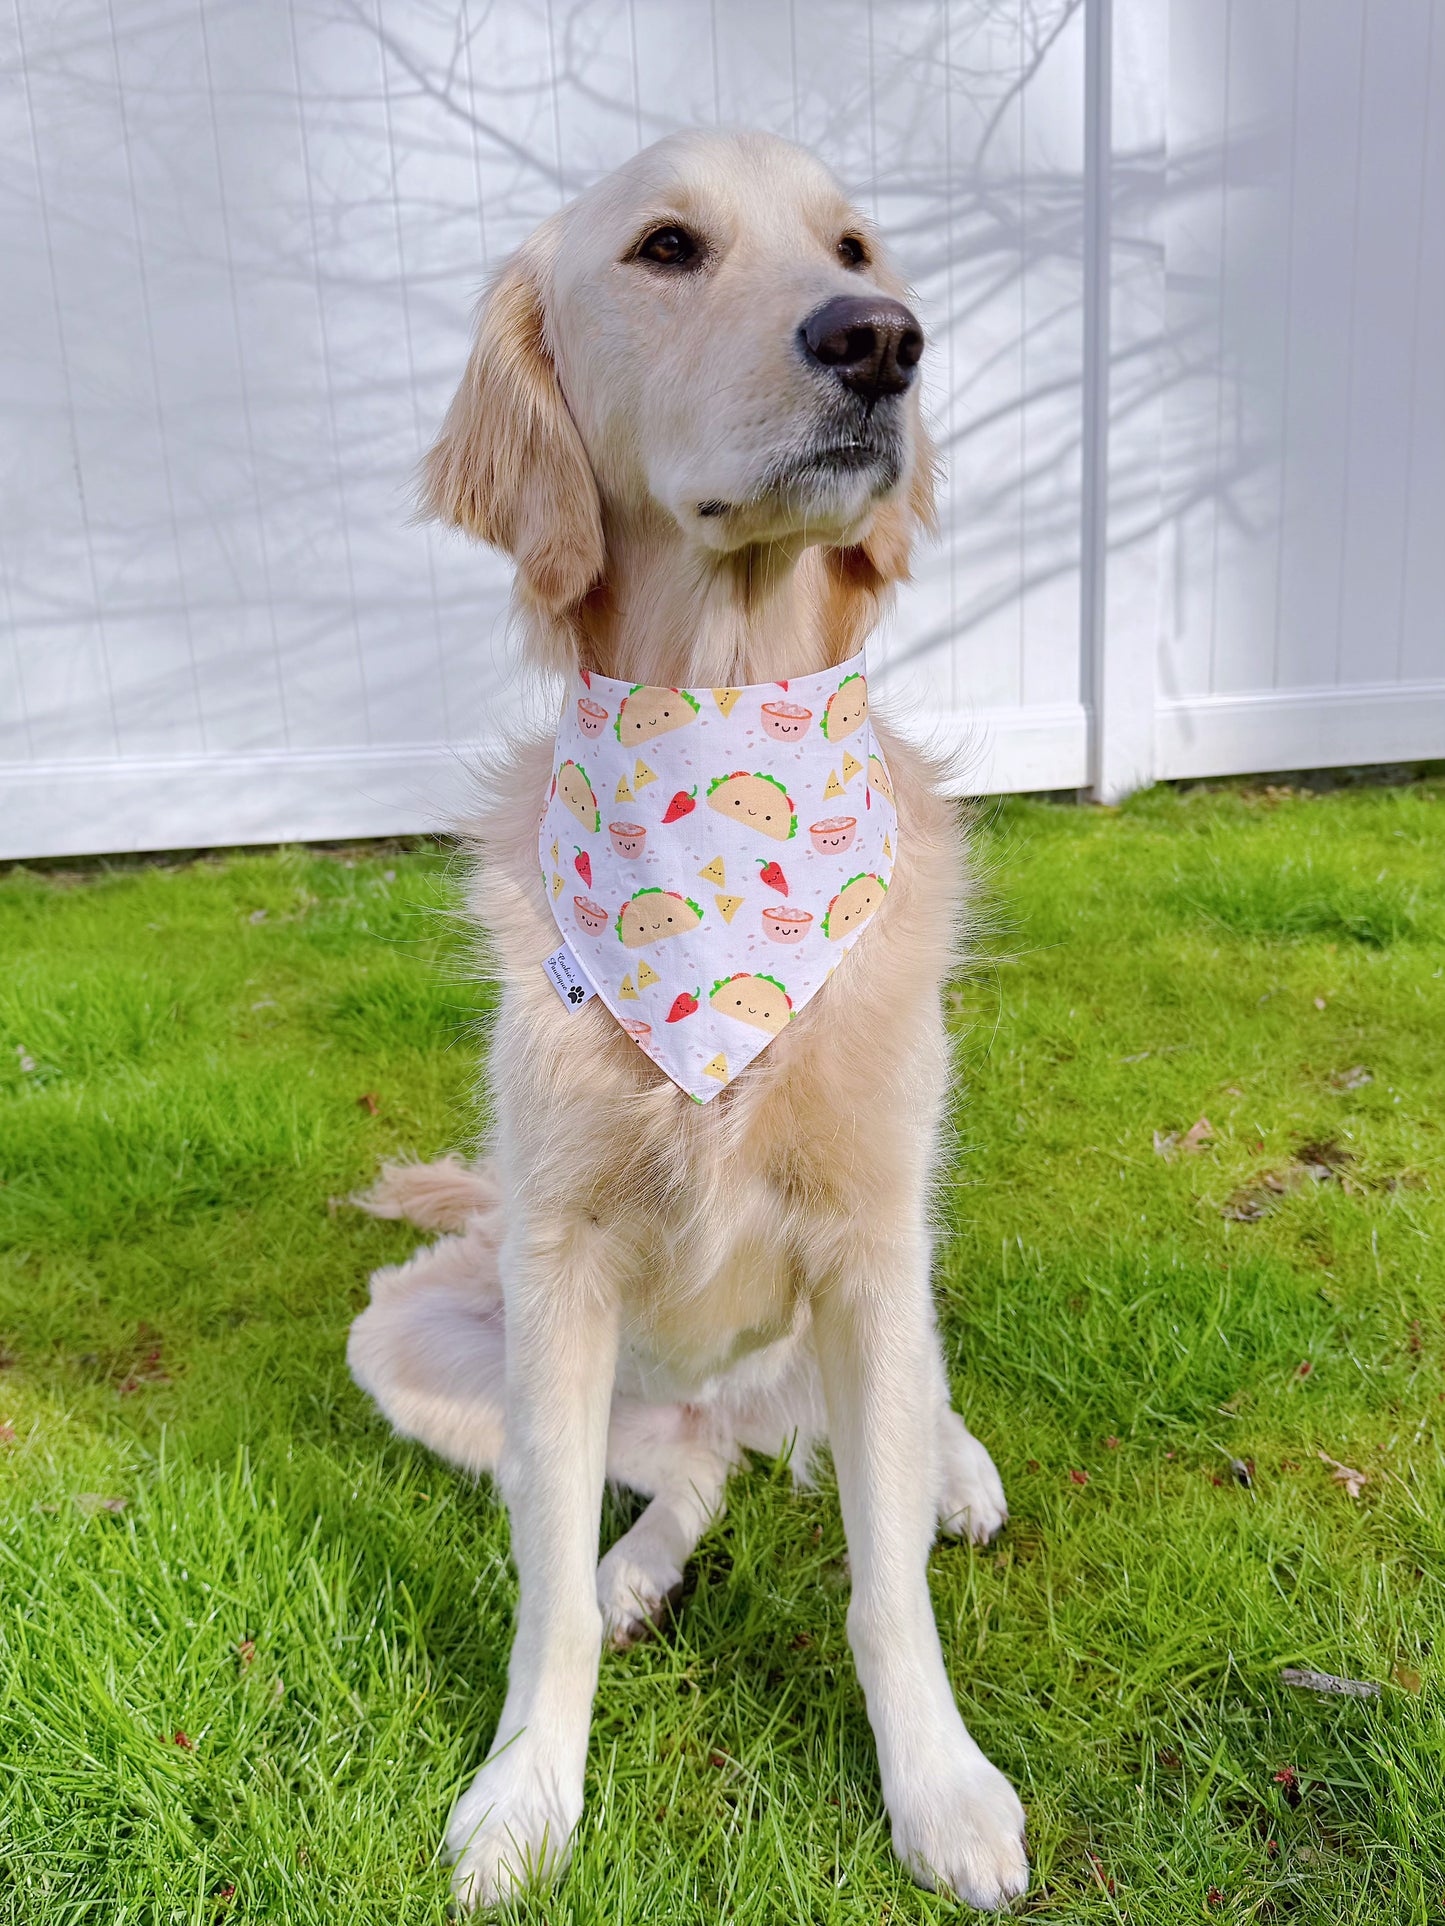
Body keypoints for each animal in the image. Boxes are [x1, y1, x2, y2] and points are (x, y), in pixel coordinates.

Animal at [348, 124, 1032, 1910]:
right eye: (667, 248)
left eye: (855, 247)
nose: (881, 341)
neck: (718, 721)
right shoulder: (560, 1270)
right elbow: (544, 1598)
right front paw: (526, 1792)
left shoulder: (871, 1244)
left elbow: (884, 1589)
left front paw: (940, 1790)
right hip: (442, 1341)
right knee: (689, 1472)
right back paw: (644, 1561)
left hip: (889, 1301)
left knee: (873, 1442)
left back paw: (954, 1470)